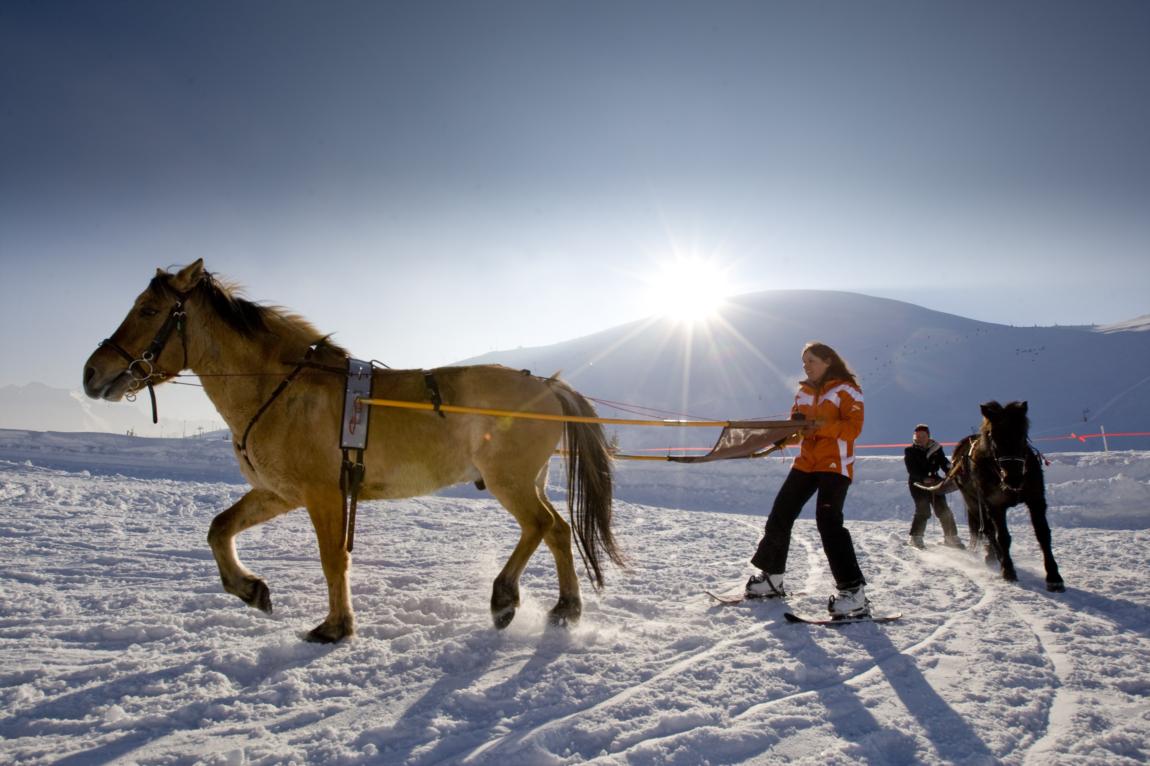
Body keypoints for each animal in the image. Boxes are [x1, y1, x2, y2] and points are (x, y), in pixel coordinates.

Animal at [83, 259, 621, 639]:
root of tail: (548, 386)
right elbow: (219, 529)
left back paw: (505, 597)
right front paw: (251, 589)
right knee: (558, 531)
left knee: (541, 526)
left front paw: (336, 627)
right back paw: (565, 609)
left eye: (148, 310)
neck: (280, 387)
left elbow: (332, 559)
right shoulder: (280, 492)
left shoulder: (322, 494)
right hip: (529, 480)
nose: (91, 372)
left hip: (510, 481)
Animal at [943, 400, 1058, 588]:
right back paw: (997, 557)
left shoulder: (1036, 500)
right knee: (988, 530)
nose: (1013, 478)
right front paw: (1008, 570)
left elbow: (1043, 533)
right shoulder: (994, 504)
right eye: (994, 437)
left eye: (1022, 435)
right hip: (973, 501)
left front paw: (1054, 577)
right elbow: (1002, 537)